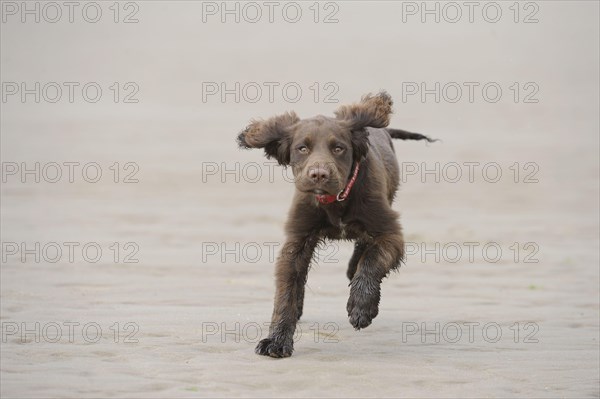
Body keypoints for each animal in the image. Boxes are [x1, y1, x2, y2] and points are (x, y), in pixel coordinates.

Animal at [236, 91, 436, 360]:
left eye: (339, 148)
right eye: (302, 148)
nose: (319, 174)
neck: (336, 200)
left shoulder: (390, 231)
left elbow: (372, 259)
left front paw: (361, 307)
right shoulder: (297, 239)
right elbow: (286, 290)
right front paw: (276, 340)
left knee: (364, 248)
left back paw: (353, 272)